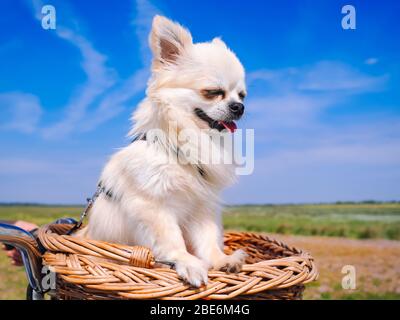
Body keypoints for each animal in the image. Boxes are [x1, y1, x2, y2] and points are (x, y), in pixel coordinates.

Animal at [76, 15, 247, 288]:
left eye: (242, 95)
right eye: (213, 92)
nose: (238, 107)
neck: (185, 148)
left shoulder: (201, 208)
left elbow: (208, 239)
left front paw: (221, 261)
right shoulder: (154, 208)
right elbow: (171, 240)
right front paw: (188, 264)